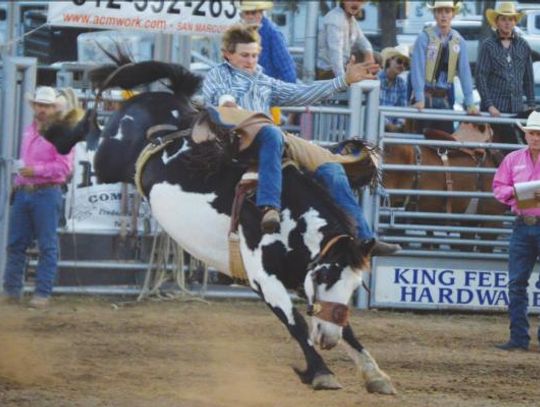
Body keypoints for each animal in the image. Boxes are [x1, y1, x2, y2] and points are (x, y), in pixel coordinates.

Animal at [43, 54, 396, 396]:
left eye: (355, 285)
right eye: (325, 276)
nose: (327, 339)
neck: (290, 218)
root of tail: (168, 98)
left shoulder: (303, 278)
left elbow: (344, 326)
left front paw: (374, 374)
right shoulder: (264, 279)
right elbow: (295, 322)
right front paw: (322, 372)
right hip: (107, 159)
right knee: (88, 132)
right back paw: (62, 115)